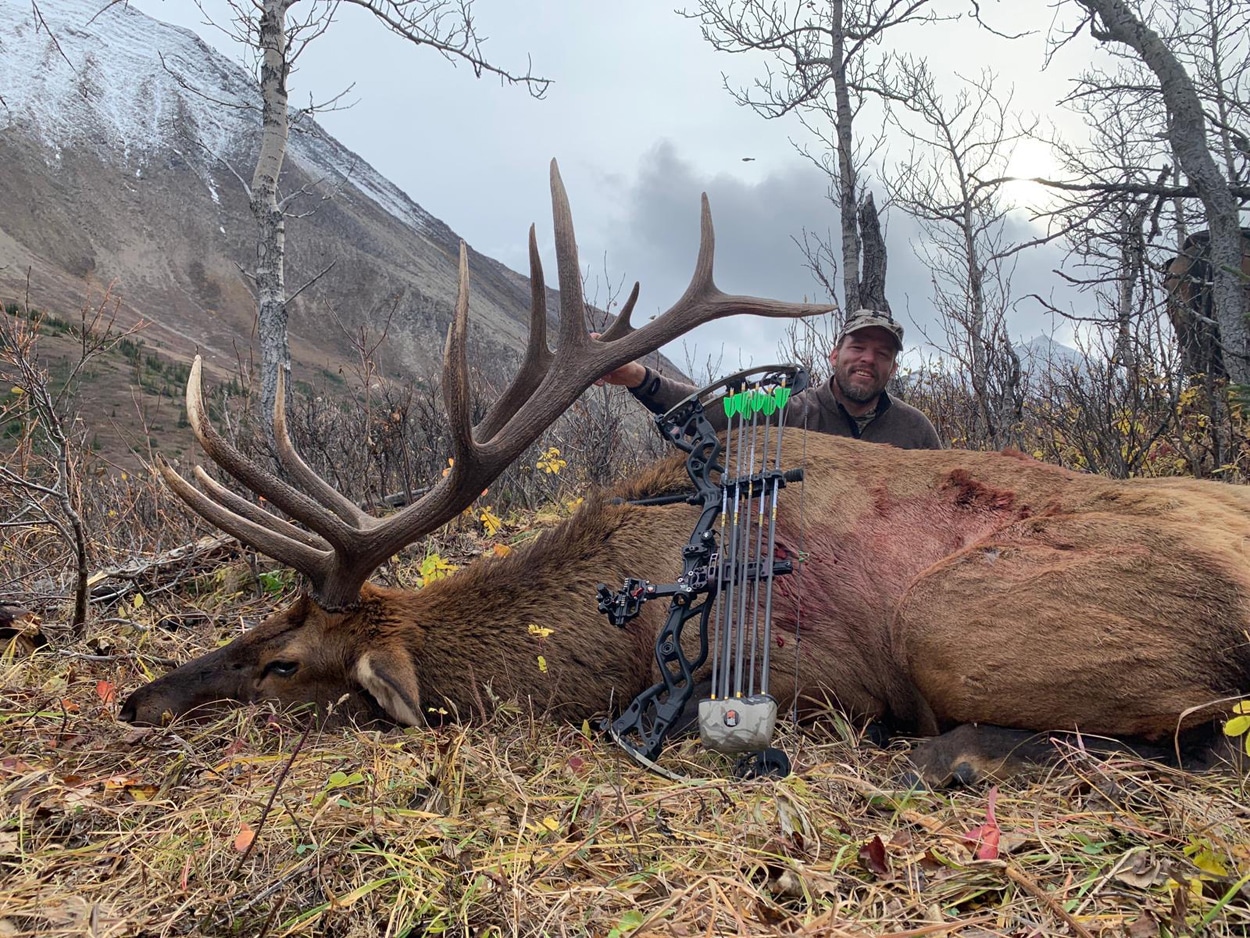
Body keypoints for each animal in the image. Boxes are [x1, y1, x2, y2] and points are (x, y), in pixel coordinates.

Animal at [121, 163, 1250, 786]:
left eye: (282, 665)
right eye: (252, 626)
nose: (138, 702)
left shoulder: (800, 677)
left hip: (954, 619)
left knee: (1203, 729)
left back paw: (953, 755)